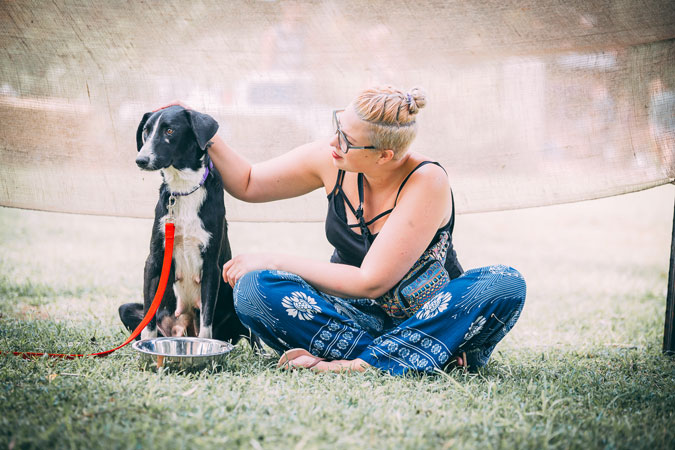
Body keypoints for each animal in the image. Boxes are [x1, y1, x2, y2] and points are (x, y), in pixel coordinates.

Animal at [118, 105, 259, 348]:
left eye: (170, 130)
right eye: (146, 131)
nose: (141, 160)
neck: (183, 188)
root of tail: (183, 329)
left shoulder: (211, 265)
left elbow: (206, 321)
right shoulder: (154, 260)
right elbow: (148, 320)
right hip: (128, 309)